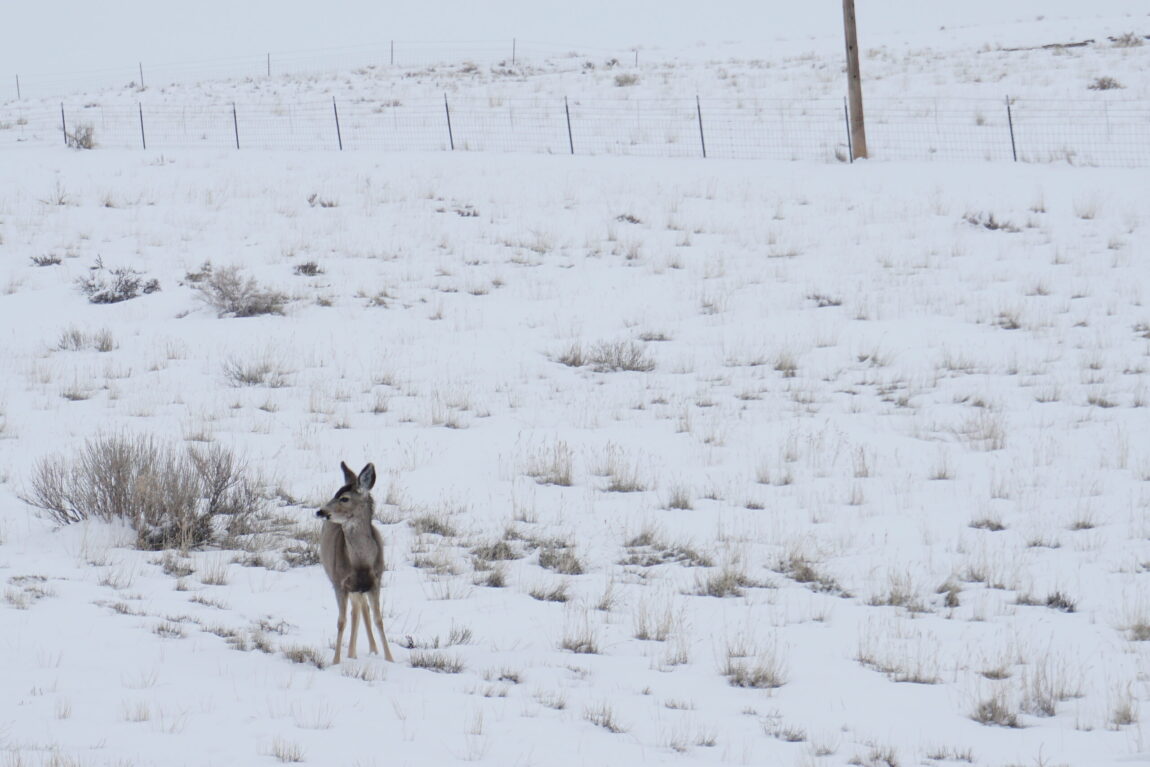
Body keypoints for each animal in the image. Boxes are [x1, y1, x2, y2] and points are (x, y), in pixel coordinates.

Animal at [316, 461, 395, 665]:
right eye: (335, 494)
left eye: (344, 498)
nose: (321, 511)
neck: (361, 564)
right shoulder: (339, 583)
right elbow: (341, 621)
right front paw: (335, 661)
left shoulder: (376, 581)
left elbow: (379, 619)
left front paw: (390, 658)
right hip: (343, 583)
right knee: (357, 609)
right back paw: (352, 653)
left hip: (360, 588)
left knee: (361, 608)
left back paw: (371, 650)